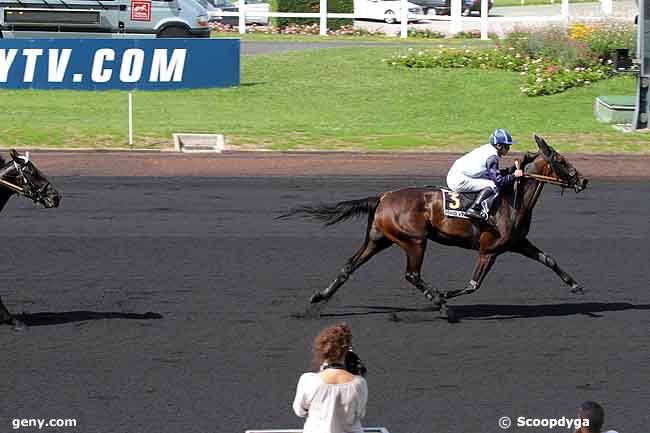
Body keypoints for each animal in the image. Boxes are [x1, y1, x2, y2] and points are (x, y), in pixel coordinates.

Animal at [278, 136, 588, 320]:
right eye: (561, 160)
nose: (583, 180)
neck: (512, 200)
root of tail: (383, 197)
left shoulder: (517, 243)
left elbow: (549, 259)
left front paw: (576, 285)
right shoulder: (489, 250)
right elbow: (473, 285)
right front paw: (444, 297)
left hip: (379, 239)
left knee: (348, 267)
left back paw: (317, 299)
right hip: (415, 241)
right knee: (412, 275)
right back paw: (440, 302)